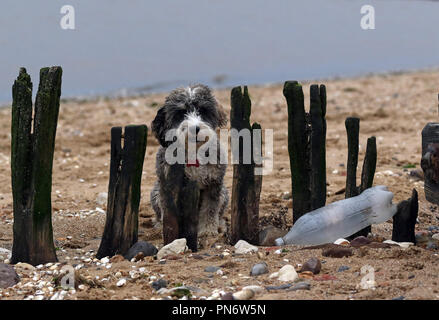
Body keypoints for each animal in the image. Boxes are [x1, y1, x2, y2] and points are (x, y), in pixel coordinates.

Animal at [151, 84, 229, 245]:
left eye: (203, 110)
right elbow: (168, 212)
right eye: (181, 113)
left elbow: (210, 209)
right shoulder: (168, 185)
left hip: (224, 193)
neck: (194, 153)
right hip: (155, 193)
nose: (195, 128)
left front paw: (207, 231)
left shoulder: (213, 184)